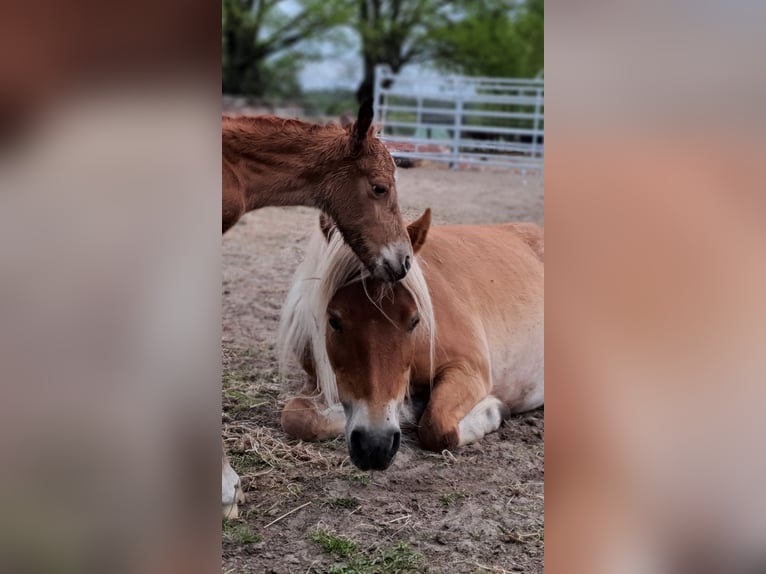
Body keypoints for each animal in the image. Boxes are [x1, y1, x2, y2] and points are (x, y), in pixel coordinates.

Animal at [278, 209, 544, 471]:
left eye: (415, 320)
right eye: (334, 320)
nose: (375, 445)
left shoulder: (470, 369)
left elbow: (437, 427)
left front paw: (493, 411)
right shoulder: (317, 382)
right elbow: (297, 418)